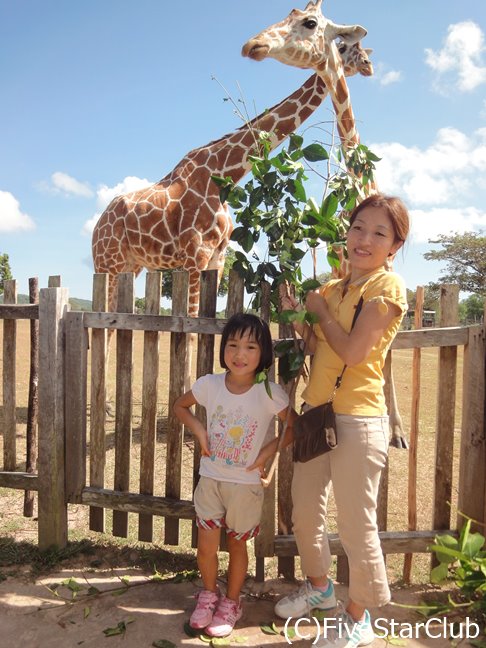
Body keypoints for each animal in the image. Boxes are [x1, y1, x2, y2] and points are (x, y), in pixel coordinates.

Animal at [94, 40, 376, 318]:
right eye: (344, 48)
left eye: (363, 50)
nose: (368, 65)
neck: (225, 173)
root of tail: (98, 225)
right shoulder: (195, 255)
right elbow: (191, 320)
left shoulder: (216, 256)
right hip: (107, 261)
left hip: (132, 264)